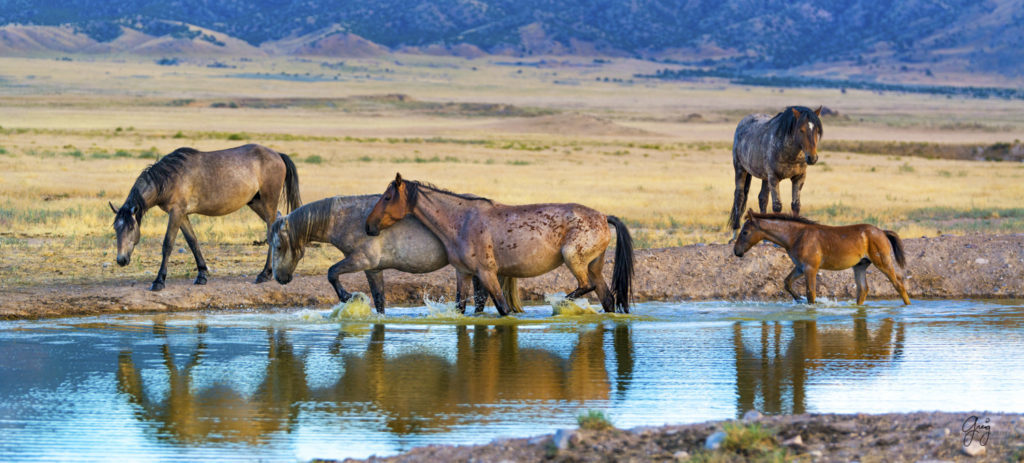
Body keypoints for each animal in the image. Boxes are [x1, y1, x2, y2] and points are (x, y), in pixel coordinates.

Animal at [110, 143, 299, 288]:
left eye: (131, 228)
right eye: (116, 229)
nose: (121, 260)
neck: (169, 177)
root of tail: (278, 155)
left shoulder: (176, 213)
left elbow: (167, 244)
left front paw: (159, 281)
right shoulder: (182, 214)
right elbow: (193, 241)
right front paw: (201, 275)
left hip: (268, 202)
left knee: (272, 231)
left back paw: (264, 274)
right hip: (256, 203)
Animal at [268, 193, 516, 313]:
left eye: (278, 246)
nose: (280, 278)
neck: (346, 218)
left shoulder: (360, 261)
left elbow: (331, 273)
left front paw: (348, 297)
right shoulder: (373, 269)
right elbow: (379, 300)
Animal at [360, 174, 630, 315]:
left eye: (387, 197)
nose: (368, 226)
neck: (461, 221)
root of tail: (603, 217)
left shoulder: (487, 273)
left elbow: (502, 308)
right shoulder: (464, 273)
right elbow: (462, 307)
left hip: (573, 258)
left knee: (584, 286)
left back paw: (559, 304)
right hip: (594, 267)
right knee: (607, 299)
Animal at [729, 105, 823, 240]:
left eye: (816, 130)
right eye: (801, 130)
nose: (812, 158)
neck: (789, 153)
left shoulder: (799, 178)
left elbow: (796, 205)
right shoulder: (774, 177)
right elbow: (777, 206)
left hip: (764, 177)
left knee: (762, 198)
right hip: (740, 169)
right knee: (739, 196)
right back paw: (735, 232)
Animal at [733, 211, 909, 305]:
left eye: (745, 232)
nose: (736, 251)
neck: (796, 236)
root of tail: (882, 231)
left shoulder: (810, 268)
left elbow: (811, 293)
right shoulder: (800, 267)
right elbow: (787, 282)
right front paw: (798, 299)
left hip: (883, 262)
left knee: (898, 284)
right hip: (860, 265)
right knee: (863, 290)